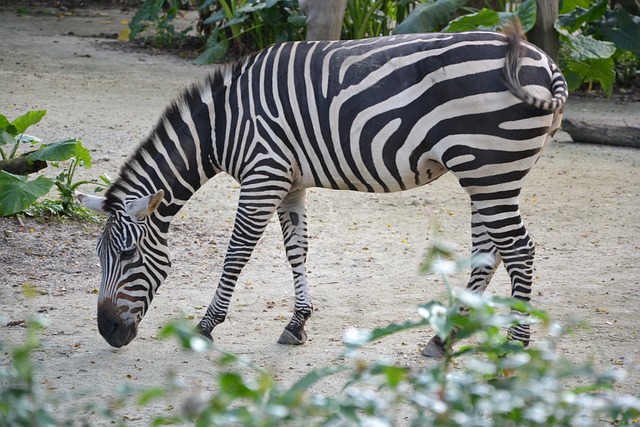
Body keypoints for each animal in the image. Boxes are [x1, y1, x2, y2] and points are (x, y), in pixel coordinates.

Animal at [76, 24, 568, 358]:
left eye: (127, 256)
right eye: (98, 257)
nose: (107, 332)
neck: (222, 125)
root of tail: (546, 62)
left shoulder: (263, 173)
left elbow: (237, 253)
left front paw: (206, 325)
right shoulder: (288, 182)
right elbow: (297, 250)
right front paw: (297, 323)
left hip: (489, 166)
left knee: (519, 249)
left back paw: (515, 344)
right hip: (487, 172)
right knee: (491, 249)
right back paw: (443, 338)